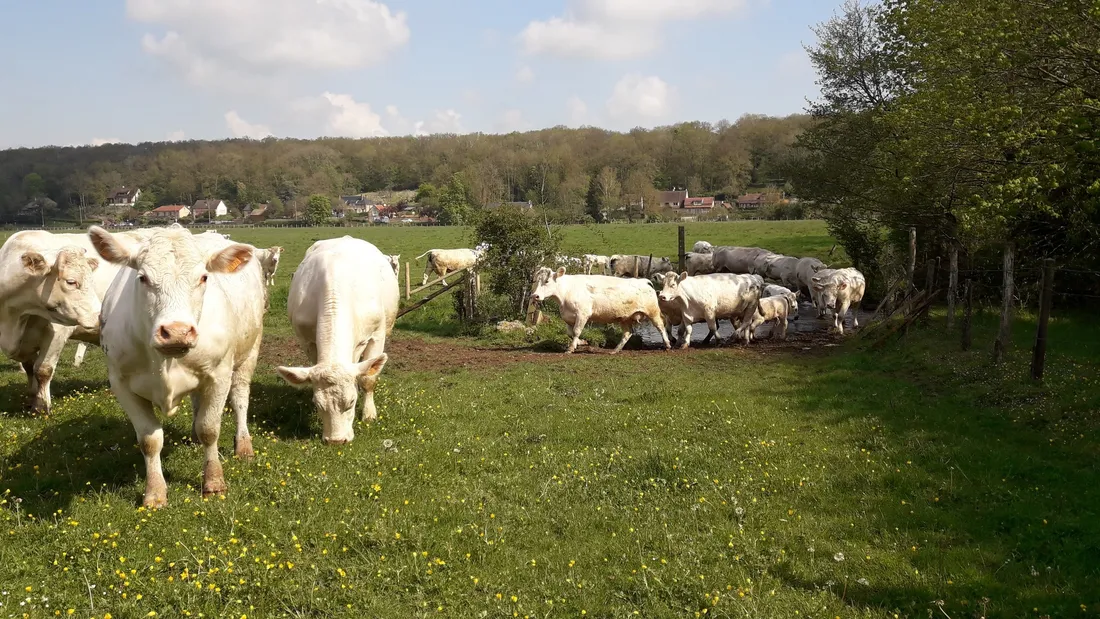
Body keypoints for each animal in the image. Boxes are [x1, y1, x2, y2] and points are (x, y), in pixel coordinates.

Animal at [89, 225, 265, 508]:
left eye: (204, 277)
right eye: (142, 278)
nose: (177, 332)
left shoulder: (219, 375)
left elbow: (210, 429)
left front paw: (214, 482)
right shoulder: (120, 382)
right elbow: (149, 439)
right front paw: (154, 492)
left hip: (249, 352)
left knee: (240, 399)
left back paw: (243, 445)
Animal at [275, 237, 398, 444]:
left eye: (351, 402)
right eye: (317, 404)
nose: (336, 441)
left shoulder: (377, 335)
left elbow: (368, 379)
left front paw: (369, 414)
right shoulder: (307, 341)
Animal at [531, 267, 671, 353]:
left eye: (547, 281)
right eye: (537, 280)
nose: (535, 295)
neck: (566, 291)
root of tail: (644, 281)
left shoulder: (582, 314)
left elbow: (576, 331)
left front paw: (571, 348)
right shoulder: (568, 317)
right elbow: (570, 332)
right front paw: (581, 343)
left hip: (653, 312)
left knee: (660, 326)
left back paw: (667, 344)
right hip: (625, 318)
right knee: (627, 333)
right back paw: (615, 350)